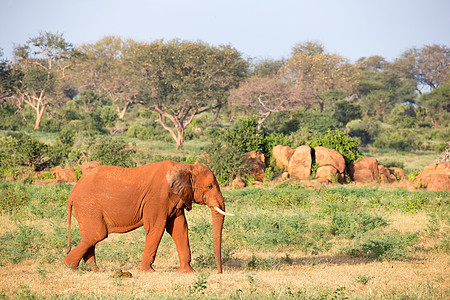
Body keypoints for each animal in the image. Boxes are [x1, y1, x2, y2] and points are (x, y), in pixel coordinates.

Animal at [62, 161, 232, 274]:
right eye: (210, 186)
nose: (219, 272)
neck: (185, 166)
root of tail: (72, 194)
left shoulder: (175, 199)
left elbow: (180, 228)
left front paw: (188, 272)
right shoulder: (157, 198)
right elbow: (156, 228)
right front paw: (148, 272)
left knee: (91, 237)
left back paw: (93, 270)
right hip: (88, 206)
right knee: (97, 234)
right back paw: (69, 265)